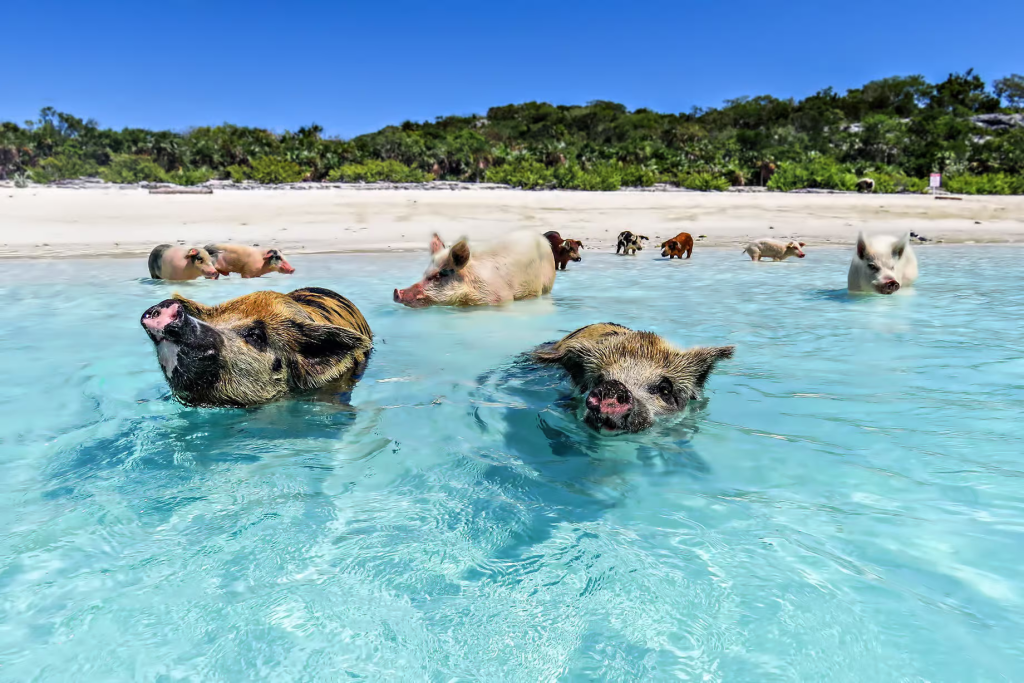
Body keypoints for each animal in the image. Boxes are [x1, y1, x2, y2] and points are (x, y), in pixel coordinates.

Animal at [393, 230, 556, 307]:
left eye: (439, 275)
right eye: (424, 273)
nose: (397, 292)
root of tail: (543, 239)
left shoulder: (501, 298)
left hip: (547, 283)